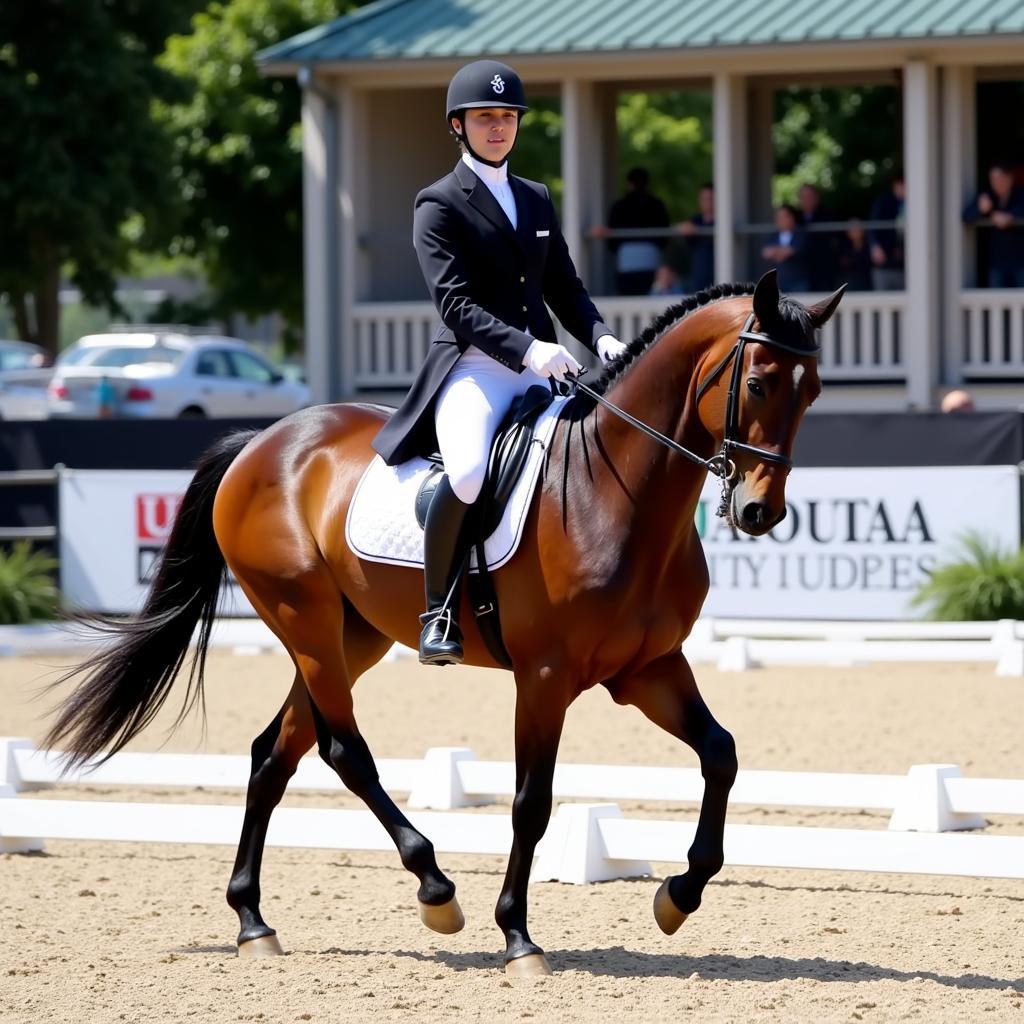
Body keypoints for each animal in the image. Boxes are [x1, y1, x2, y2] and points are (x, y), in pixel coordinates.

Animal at [46, 270, 839, 974]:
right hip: (304, 622)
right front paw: (518, 936)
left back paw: (253, 921)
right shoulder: (545, 677)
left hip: (351, 636)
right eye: (760, 383)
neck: (615, 493)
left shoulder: (647, 668)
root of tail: (263, 442)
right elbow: (531, 802)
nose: (759, 513)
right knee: (344, 750)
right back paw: (435, 889)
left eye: (814, 391)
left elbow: (721, 754)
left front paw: (678, 894)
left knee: (274, 753)